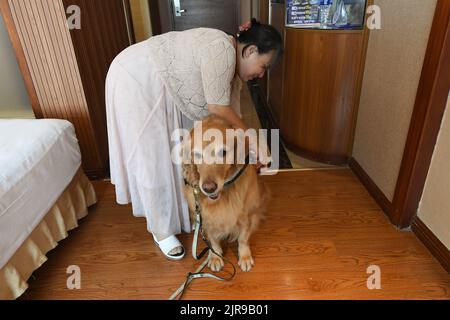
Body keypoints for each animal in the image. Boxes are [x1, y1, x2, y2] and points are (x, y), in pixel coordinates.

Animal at [180, 115, 270, 272]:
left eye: (223, 152)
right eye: (197, 155)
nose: (209, 188)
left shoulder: (246, 215)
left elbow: (243, 239)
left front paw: (245, 257)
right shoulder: (207, 219)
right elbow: (213, 241)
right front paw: (215, 257)